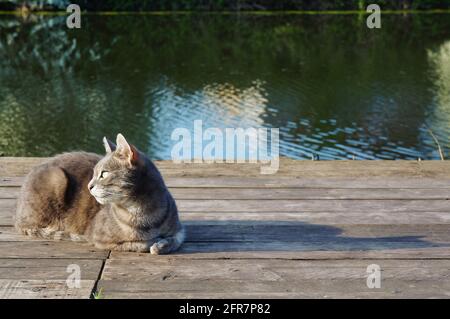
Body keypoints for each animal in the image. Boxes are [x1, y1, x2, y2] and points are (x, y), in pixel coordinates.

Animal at [14, 134, 183, 256]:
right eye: (94, 173)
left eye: (104, 174)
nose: (89, 186)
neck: (141, 209)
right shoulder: (98, 236)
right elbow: (137, 243)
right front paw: (153, 242)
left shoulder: (179, 230)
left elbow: (175, 239)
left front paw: (162, 244)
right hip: (57, 177)